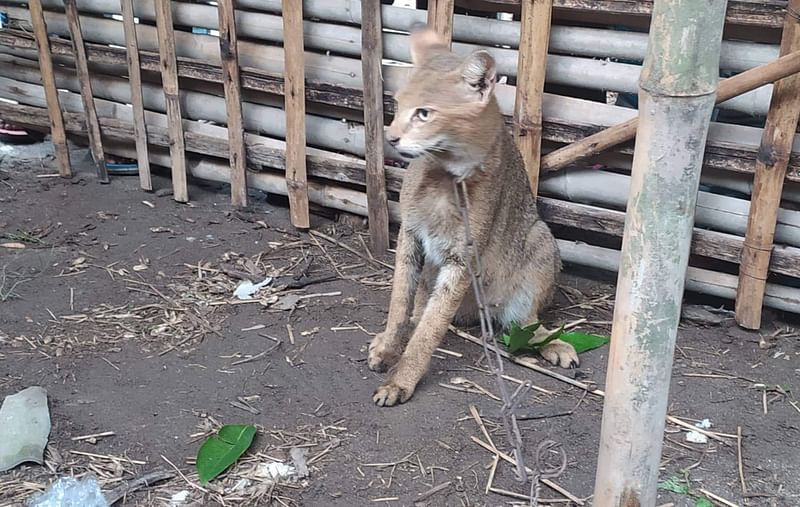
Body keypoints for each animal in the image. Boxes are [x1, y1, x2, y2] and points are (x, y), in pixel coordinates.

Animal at [368, 27, 576, 408]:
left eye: (424, 113)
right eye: (397, 105)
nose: (390, 137)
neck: (443, 176)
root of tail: (476, 314)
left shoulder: (461, 258)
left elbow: (430, 329)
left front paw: (400, 380)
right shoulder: (410, 236)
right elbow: (400, 304)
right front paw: (389, 348)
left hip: (540, 239)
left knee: (524, 322)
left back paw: (554, 343)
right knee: (421, 308)